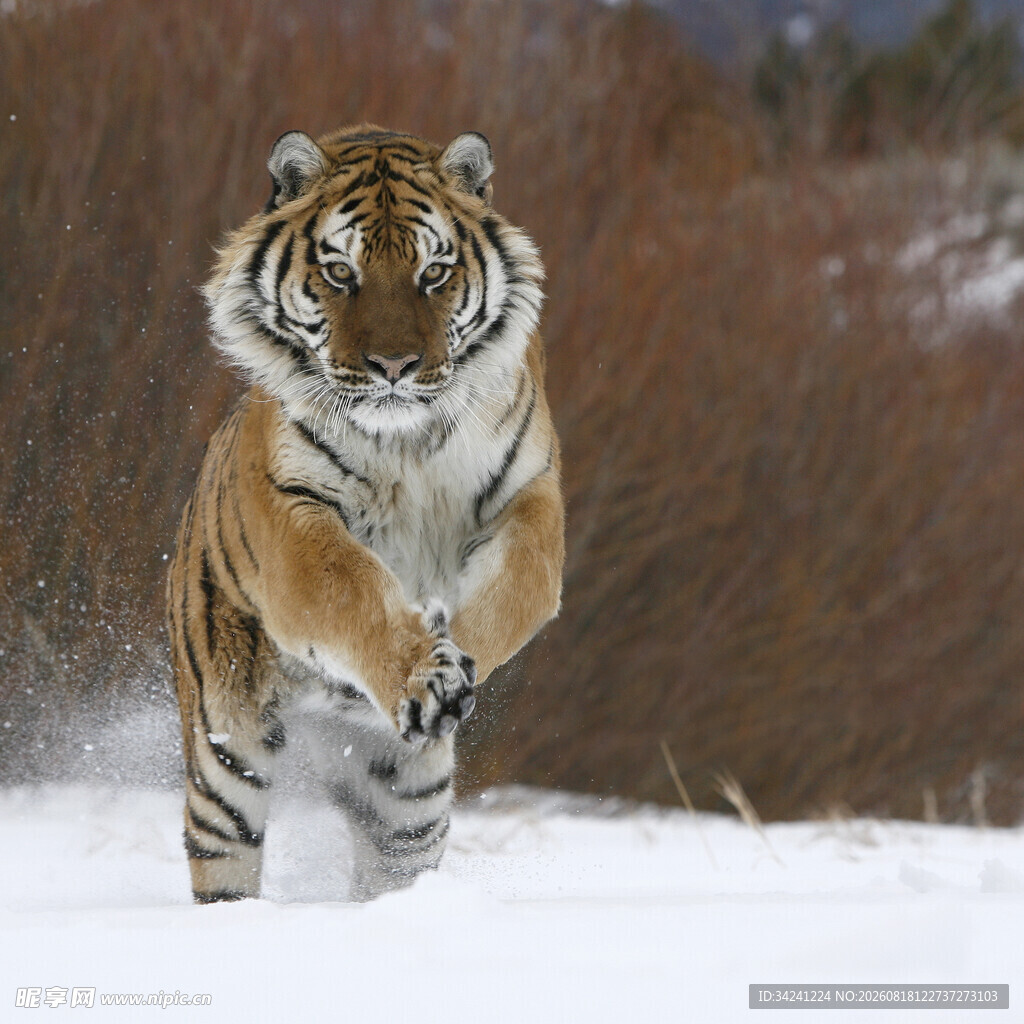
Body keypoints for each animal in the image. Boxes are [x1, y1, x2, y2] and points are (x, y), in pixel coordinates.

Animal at [165, 124, 564, 904]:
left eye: (433, 273)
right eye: (339, 272)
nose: (394, 367)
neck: (407, 442)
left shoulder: (530, 494)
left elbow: (517, 589)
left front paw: (448, 657)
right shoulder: (294, 517)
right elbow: (351, 588)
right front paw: (421, 673)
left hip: (408, 809)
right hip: (227, 753)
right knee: (223, 851)